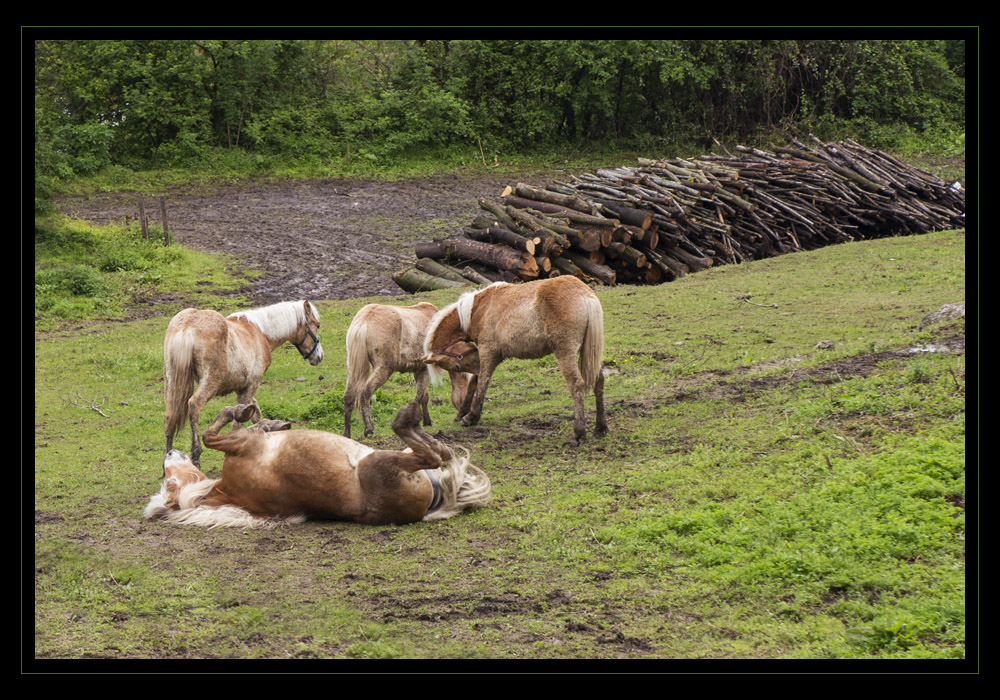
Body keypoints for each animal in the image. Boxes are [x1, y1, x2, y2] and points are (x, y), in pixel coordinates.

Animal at [146, 400, 492, 524]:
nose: (168, 455)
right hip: (380, 462)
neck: (226, 490)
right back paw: (407, 419)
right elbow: (209, 435)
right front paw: (243, 411)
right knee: (434, 454)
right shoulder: (241, 444)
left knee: (437, 454)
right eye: (169, 480)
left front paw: (267, 420)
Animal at [162, 300, 322, 468]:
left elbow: (256, 413)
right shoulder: (252, 385)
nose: (319, 356)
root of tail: (186, 327)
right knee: (194, 404)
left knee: (169, 418)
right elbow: (238, 423)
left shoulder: (243, 388)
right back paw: (196, 456)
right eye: (317, 325)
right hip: (210, 382)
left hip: (171, 381)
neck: (261, 332)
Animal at [344, 300, 472, 438]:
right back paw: (369, 428)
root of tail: (363, 321)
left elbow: (424, 396)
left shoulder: (418, 370)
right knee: (365, 392)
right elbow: (419, 397)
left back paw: (347, 433)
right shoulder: (425, 369)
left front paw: (427, 421)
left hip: (353, 368)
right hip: (384, 368)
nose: (464, 417)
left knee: (348, 396)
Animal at [418, 276, 604, 446]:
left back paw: (577, 434)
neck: (479, 309)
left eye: (456, 366)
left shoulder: (487, 353)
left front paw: (471, 416)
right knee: (598, 381)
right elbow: (474, 383)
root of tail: (584, 294)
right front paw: (462, 413)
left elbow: (482, 383)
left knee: (576, 385)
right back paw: (600, 428)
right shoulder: (485, 357)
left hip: (565, 353)